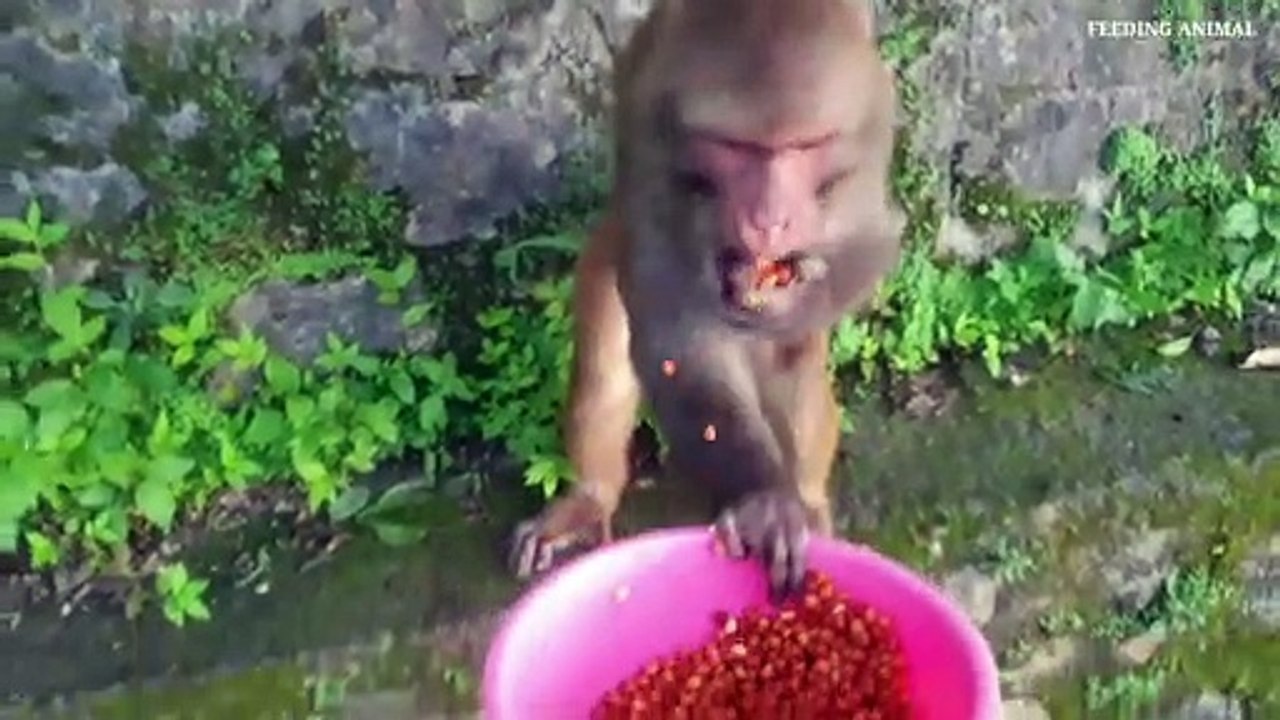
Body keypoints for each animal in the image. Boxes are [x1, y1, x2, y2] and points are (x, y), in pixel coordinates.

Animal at [510, 0, 904, 599]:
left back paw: (808, 501)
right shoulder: (654, 135)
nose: (769, 220)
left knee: (796, 370)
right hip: (608, 249)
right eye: (738, 148)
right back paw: (589, 498)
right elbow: (678, 338)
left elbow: (870, 248)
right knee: (606, 369)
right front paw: (765, 506)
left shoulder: (866, 136)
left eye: (804, 146)